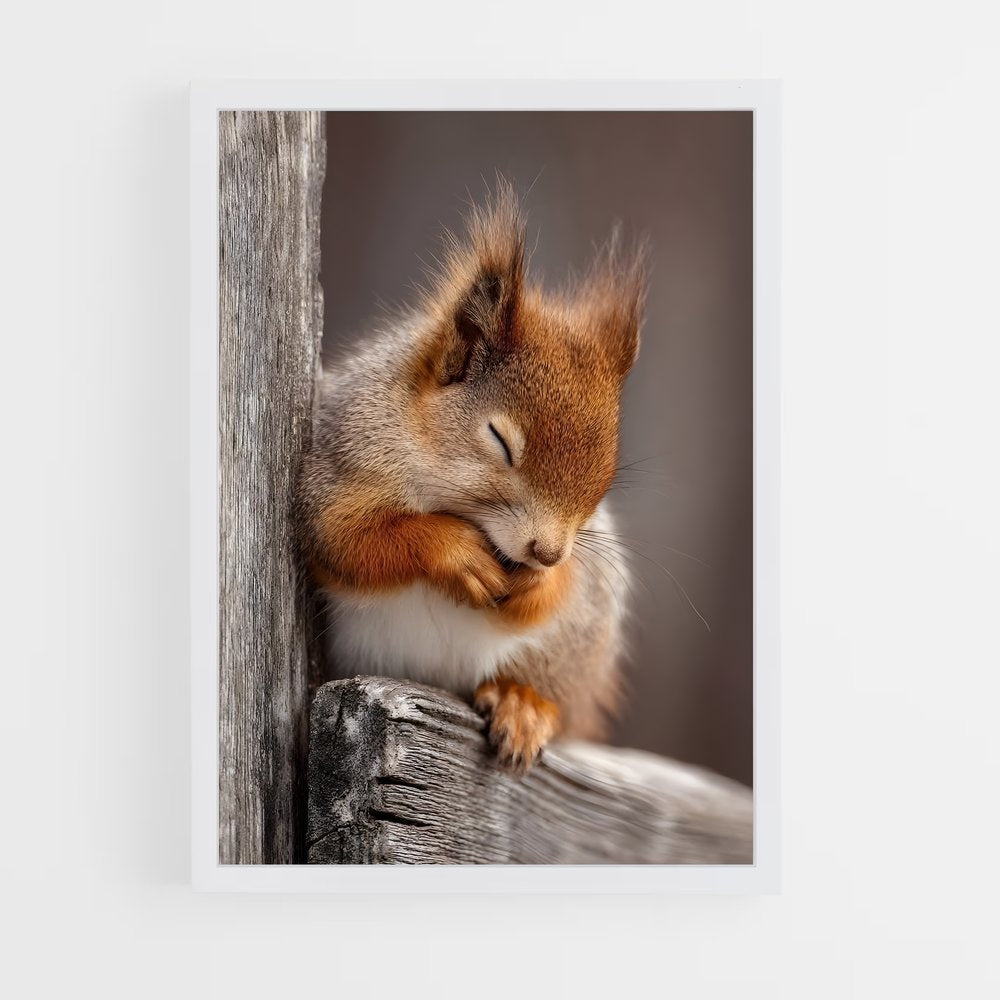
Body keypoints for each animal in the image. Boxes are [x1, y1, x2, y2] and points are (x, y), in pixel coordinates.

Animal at [296, 183, 647, 769]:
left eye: (607, 475)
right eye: (500, 440)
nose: (547, 552)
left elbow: (552, 594)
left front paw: (539, 581)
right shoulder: (338, 464)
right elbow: (350, 541)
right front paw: (456, 553)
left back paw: (521, 702)